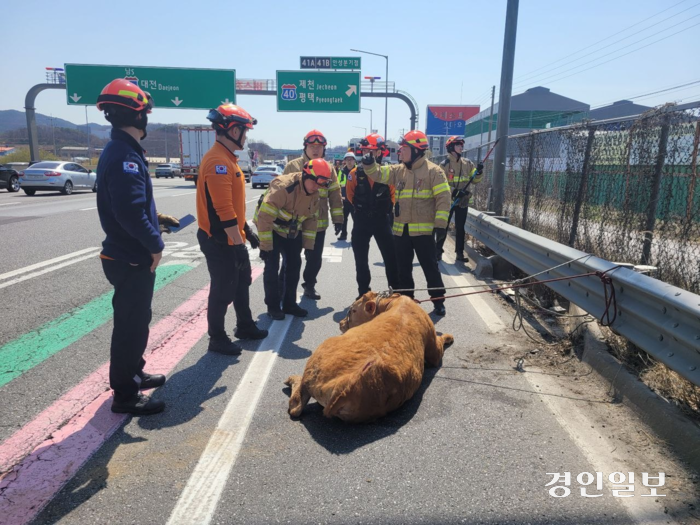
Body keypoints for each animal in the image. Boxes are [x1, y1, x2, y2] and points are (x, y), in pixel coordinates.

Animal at [284, 290, 454, 422]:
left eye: (352, 310)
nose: (341, 323)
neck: (393, 303)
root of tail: (344, 385)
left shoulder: (434, 351)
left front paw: (449, 336)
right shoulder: (433, 350)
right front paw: (449, 336)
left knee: (296, 406)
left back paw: (292, 378)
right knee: (296, 406)